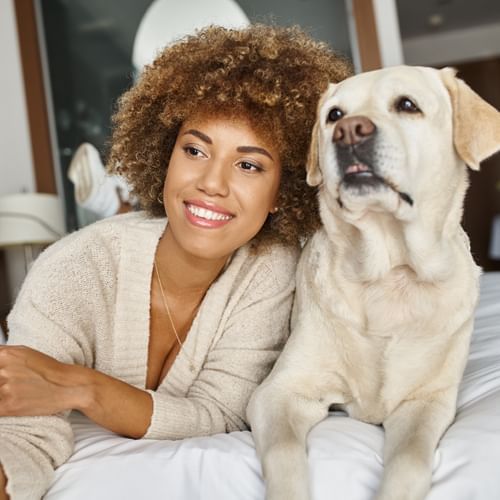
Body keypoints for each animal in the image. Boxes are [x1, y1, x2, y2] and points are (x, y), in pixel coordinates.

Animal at [248, 67, 500, 500]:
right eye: (333, 115)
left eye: (408, 105)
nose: (349, 131)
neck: (391, 273)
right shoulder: (276, 394)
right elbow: (284, 453)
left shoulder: (427, 402)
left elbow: (411, 460)